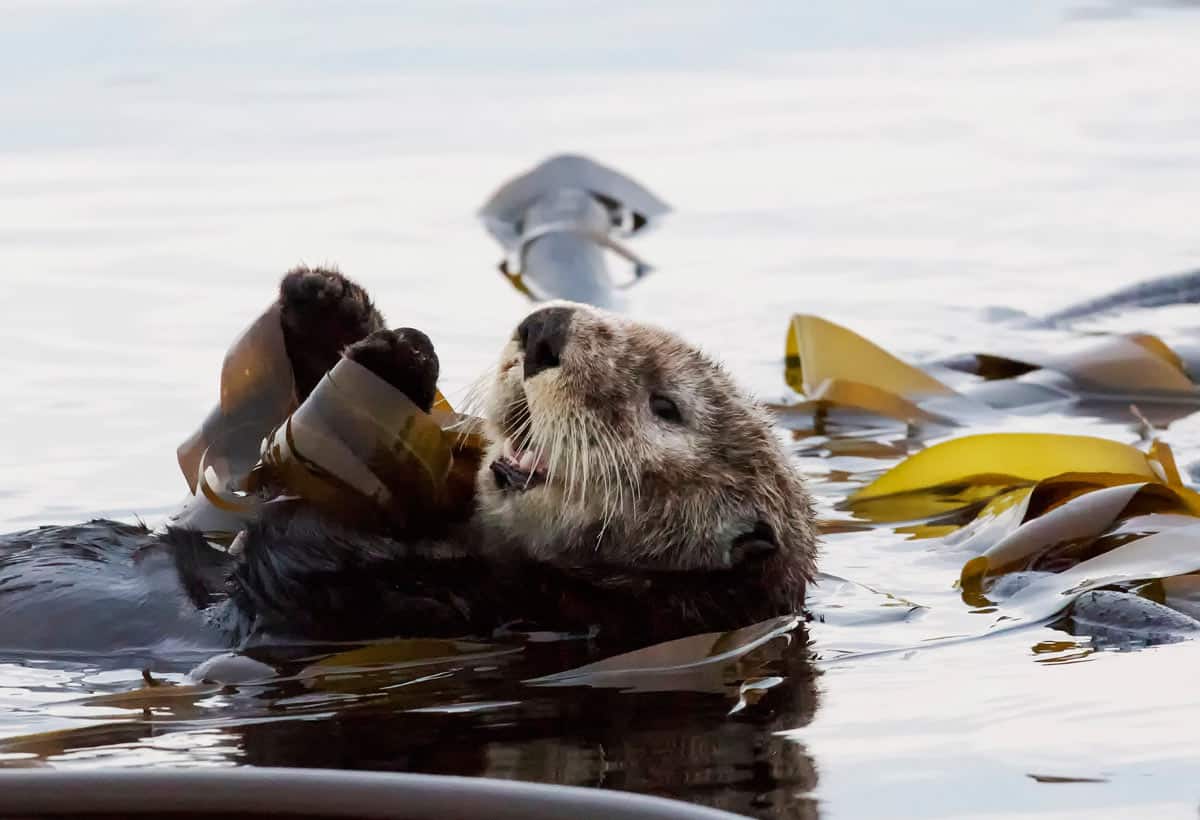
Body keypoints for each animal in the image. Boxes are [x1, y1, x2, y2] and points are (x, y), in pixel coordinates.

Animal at [0, 269, 816, 657]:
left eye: (666, 406)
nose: (546, 327)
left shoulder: (493, 605)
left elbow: (286, 558)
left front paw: (392, 359)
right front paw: (331, 307)